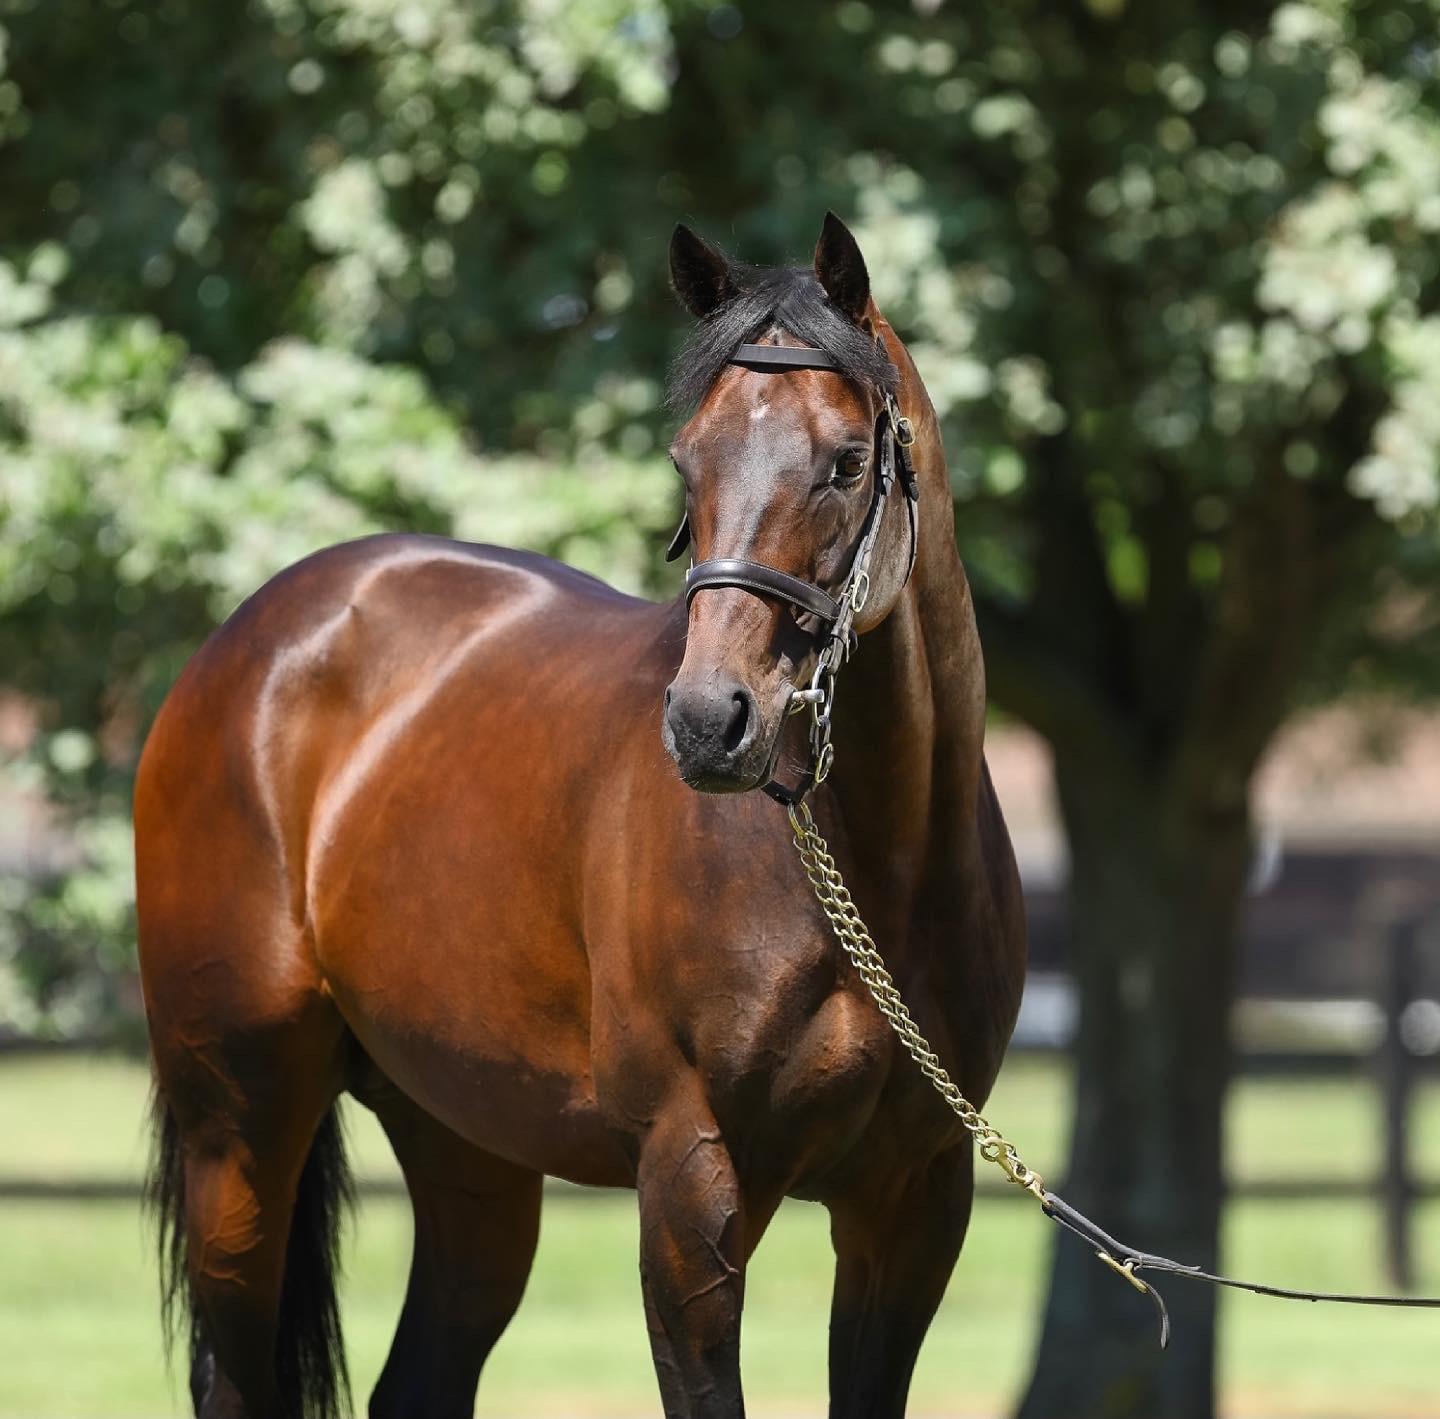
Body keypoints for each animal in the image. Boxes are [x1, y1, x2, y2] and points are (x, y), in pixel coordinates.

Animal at [136, 212, 1027, 1419]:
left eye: (847, 462)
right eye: (686, 462)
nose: (708, 723)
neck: (875, 875)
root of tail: (248, 644)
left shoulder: (915, 1202)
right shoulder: (692, 1189)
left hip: (467, 1142)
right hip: (239, 1130)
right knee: (236, 1373)